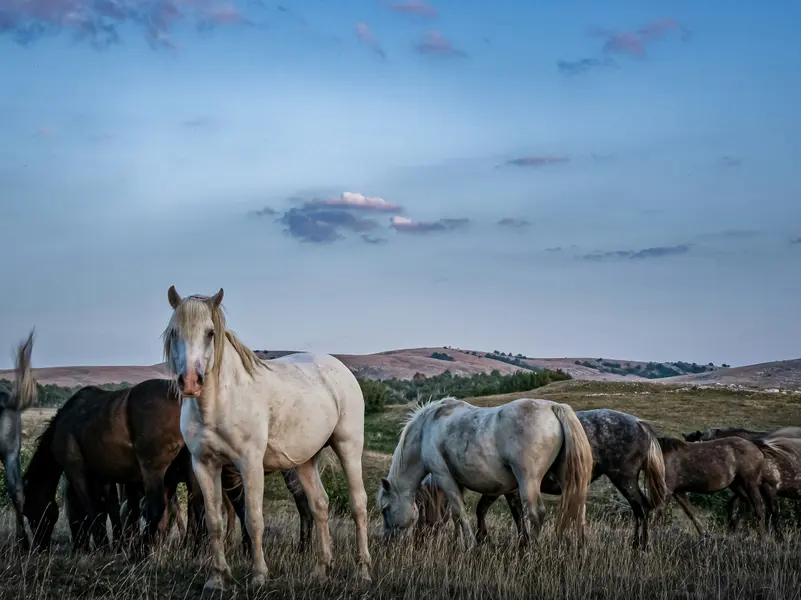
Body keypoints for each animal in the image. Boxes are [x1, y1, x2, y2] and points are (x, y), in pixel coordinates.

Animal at [162, 286, 372, 595]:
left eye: (210, 332)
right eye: (174, 331)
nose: (190, 381)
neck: (220, 404)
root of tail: (338, 367)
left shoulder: (250, 464)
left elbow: (253, 519)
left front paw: (259, 575)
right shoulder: (205, 465)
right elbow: (215, 523)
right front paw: (217, 579)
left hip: (348, 447)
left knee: (358, 505)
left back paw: (363, 572)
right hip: (305, 461)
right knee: (319, 505)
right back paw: (321, 571)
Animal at [377, 396, 593, 547]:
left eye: (385, 509)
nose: (386, 542)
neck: (426, 430)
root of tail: (553, 407)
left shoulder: (443, 476)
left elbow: (459, 512)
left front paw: (470, 544)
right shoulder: (457, 482)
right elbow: (455, 513)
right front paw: (458, 541)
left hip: (528, 480)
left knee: (535, 513)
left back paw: (531, 550)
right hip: (567, 479)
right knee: (579, 509)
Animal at [419, 408, 667, 549]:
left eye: (421, 504)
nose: (422, 536)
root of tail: (639, 424)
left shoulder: (507, 490)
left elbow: (513, 515)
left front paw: (517, 543)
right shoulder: (500, 489)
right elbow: (485, 509)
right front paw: (486, 539)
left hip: (624, 479)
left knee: (641, 508)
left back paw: (640, 546)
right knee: (641, 509)